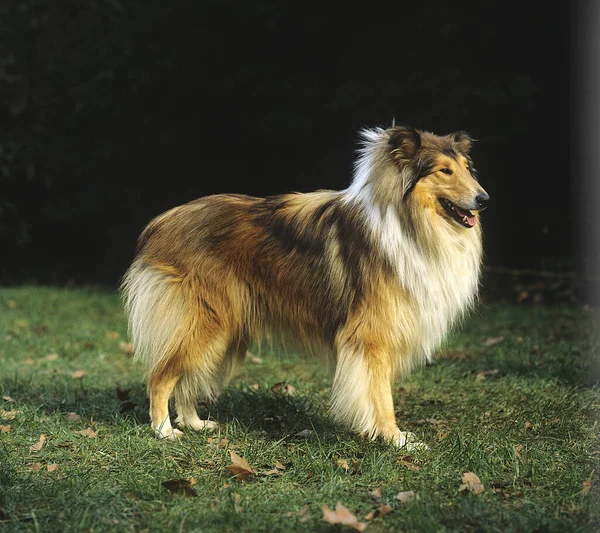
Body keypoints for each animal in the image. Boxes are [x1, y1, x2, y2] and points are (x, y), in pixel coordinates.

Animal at [120, 127, 488, 446]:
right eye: (444, 171)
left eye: (467, 168)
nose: (484, 199)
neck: (408, 221)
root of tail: (160, 223)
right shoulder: (372, 337)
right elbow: (380, 393)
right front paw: (394, 438)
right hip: (206, 321)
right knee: (161, 377)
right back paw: (164, 430)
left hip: (223, 329)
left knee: (187, 377)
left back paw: (194, 423)